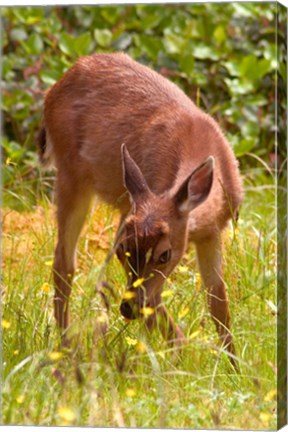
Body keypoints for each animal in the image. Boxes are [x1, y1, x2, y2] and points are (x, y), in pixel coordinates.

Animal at [38, 50, 243, 368]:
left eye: (165, 254)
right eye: (123, 249)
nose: (127, 309)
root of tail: (56, 86)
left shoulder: (212, 232)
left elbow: (218, 300)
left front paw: (236, 368)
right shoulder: (130, 217)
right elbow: (155, 299)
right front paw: (176, 357)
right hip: (71, 175)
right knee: (63, 263)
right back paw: (67, 351)